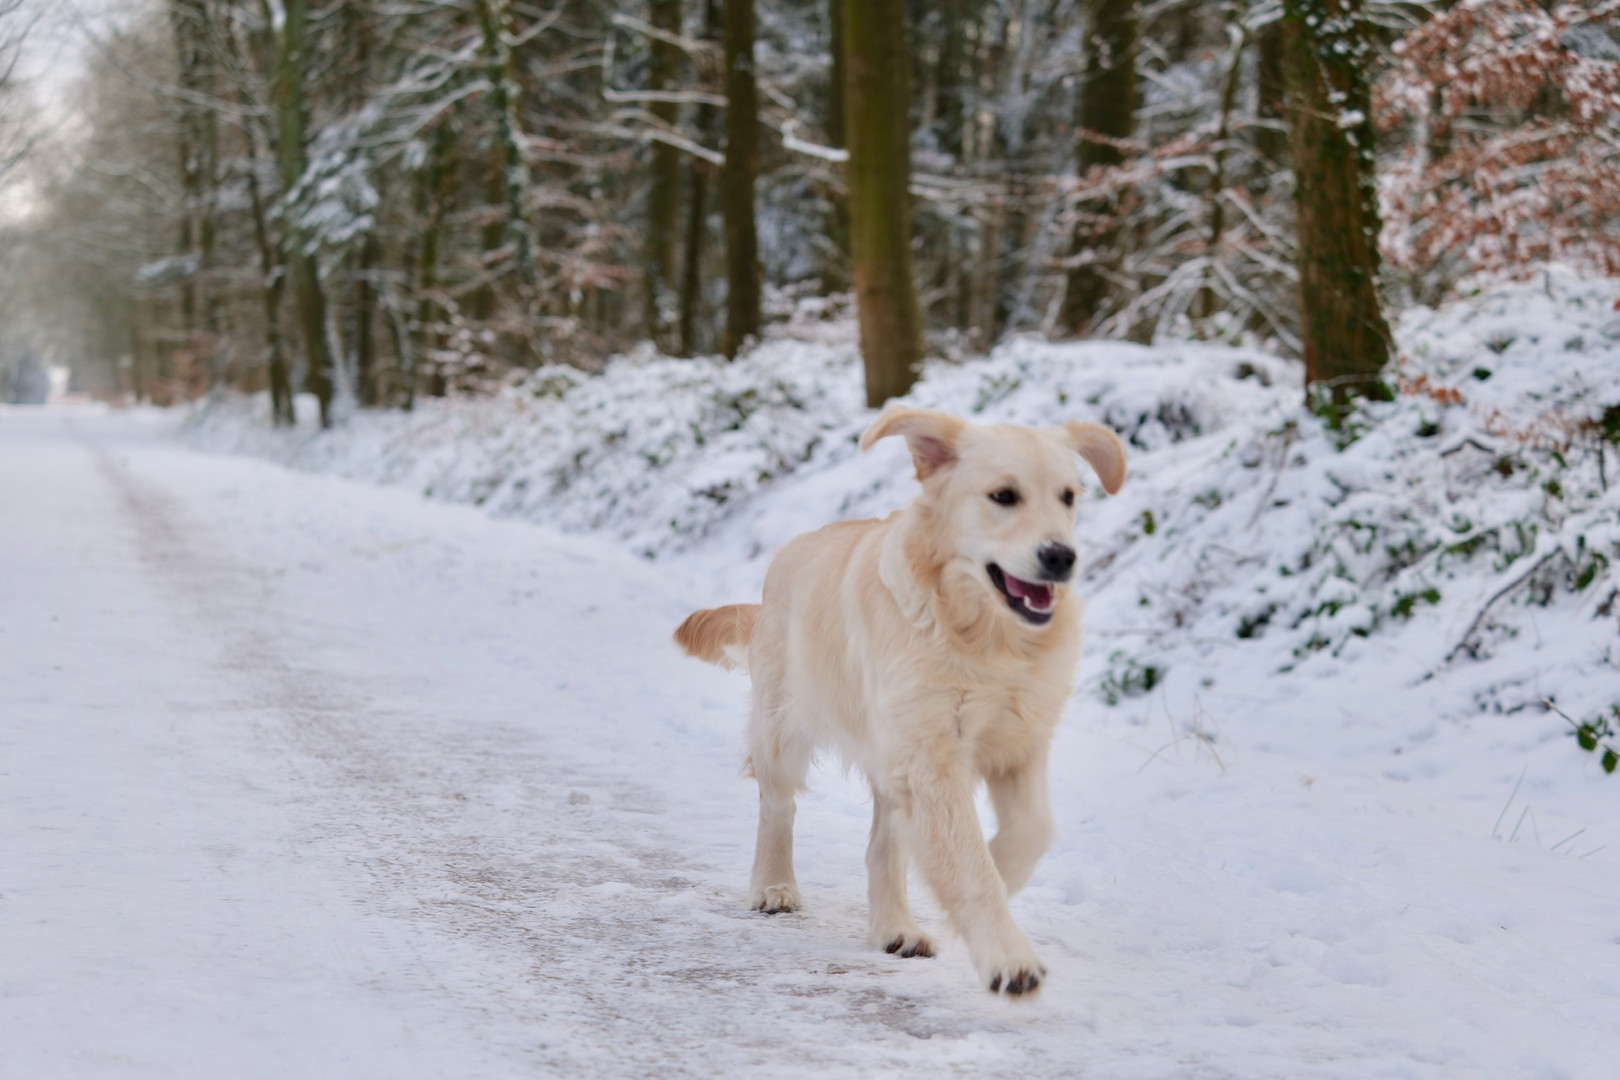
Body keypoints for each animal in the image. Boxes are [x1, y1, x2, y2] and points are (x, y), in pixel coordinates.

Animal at [673, 404, 1127, 997]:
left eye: (1069, 496)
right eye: (1003, 496)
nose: (1061, 556)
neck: (983, 634)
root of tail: (787, 554)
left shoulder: (1019, 741)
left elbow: (1030, 832)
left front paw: (987, 885)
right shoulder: (931, 755)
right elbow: (969, 863)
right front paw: (1007, 957)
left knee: (883, 846)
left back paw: (896, 928)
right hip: (785, 729)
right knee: (778, 806)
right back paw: (774, 886)